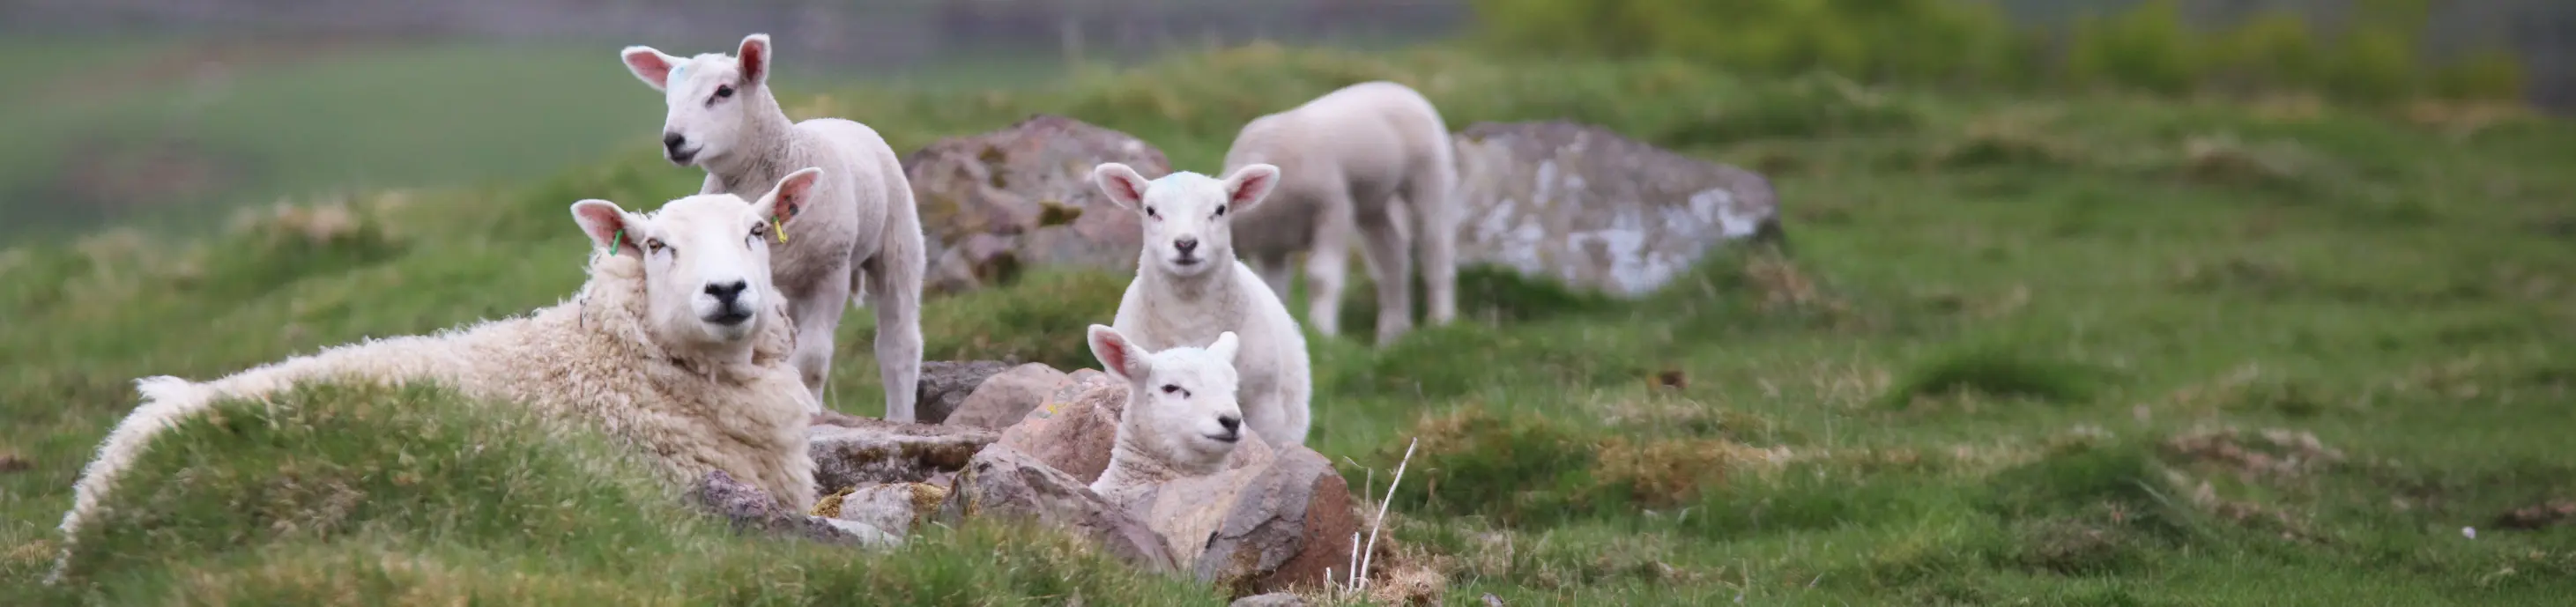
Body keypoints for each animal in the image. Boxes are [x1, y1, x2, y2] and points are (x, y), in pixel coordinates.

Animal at [620, 33, 926, 422]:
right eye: (669, 96)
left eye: (723, 91)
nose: (673, 140)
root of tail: (839, 118)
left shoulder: (831, 273)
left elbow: (812, 359)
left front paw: (810, 410)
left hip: (899, 242)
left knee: (898, 343)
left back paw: (900, 416)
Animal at [1222, 80, 1461, 347]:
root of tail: (1401, 88)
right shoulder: (1272, 248)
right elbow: (1273, 291)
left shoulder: (1332, 208)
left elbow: (1322, 276)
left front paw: (1322, 332)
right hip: (1373, 206)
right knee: (1393, 259)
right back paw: (1392, 334)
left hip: (1429, 176)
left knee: (1436, 249)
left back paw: (1440, 321)